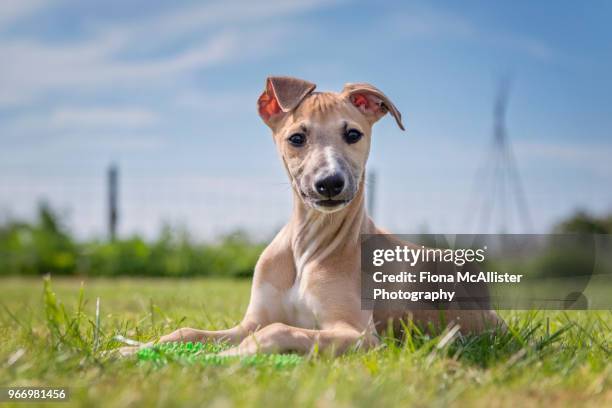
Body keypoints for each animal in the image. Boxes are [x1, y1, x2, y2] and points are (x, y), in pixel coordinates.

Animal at [119, 76, 502, 356]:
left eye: (353, 134)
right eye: (296, 138)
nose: (330, 183)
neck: (307, 247)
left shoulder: (359, 335)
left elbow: (275, 332)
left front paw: (224, 358)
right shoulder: (248, 323)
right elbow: (186, 331)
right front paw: (128, 351)